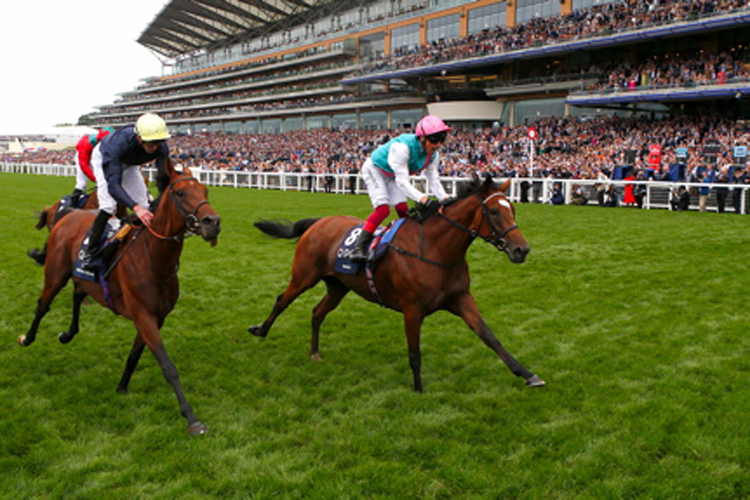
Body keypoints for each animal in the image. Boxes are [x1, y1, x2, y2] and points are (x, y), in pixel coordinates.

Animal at [19, 159, 222, 434]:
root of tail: (67, 215)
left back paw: (68, 333)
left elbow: (135, 354)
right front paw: (191, 417)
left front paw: (122, 386)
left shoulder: (156, 317)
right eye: (180, 193)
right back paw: (27, 338)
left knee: (77, 294)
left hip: (84, 278)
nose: (213, 221)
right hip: (55, 275)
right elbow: (168, 366)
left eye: (205, 191)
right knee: (42, 306)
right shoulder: (143, 314)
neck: (155, 257)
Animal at [250, 176, 548, 394]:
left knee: (317, 312)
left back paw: (314, 352)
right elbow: (414, 352)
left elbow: (489, 336)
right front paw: (418, 389)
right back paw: (260, 330)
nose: (521, 250)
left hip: (339, 286)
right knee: (282, 300)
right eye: (494, 211)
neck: (436, 250)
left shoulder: (461, 299)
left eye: (514, 209)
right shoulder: (412, 309)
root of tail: (318, 222)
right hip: (303, 276)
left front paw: (528, 374)